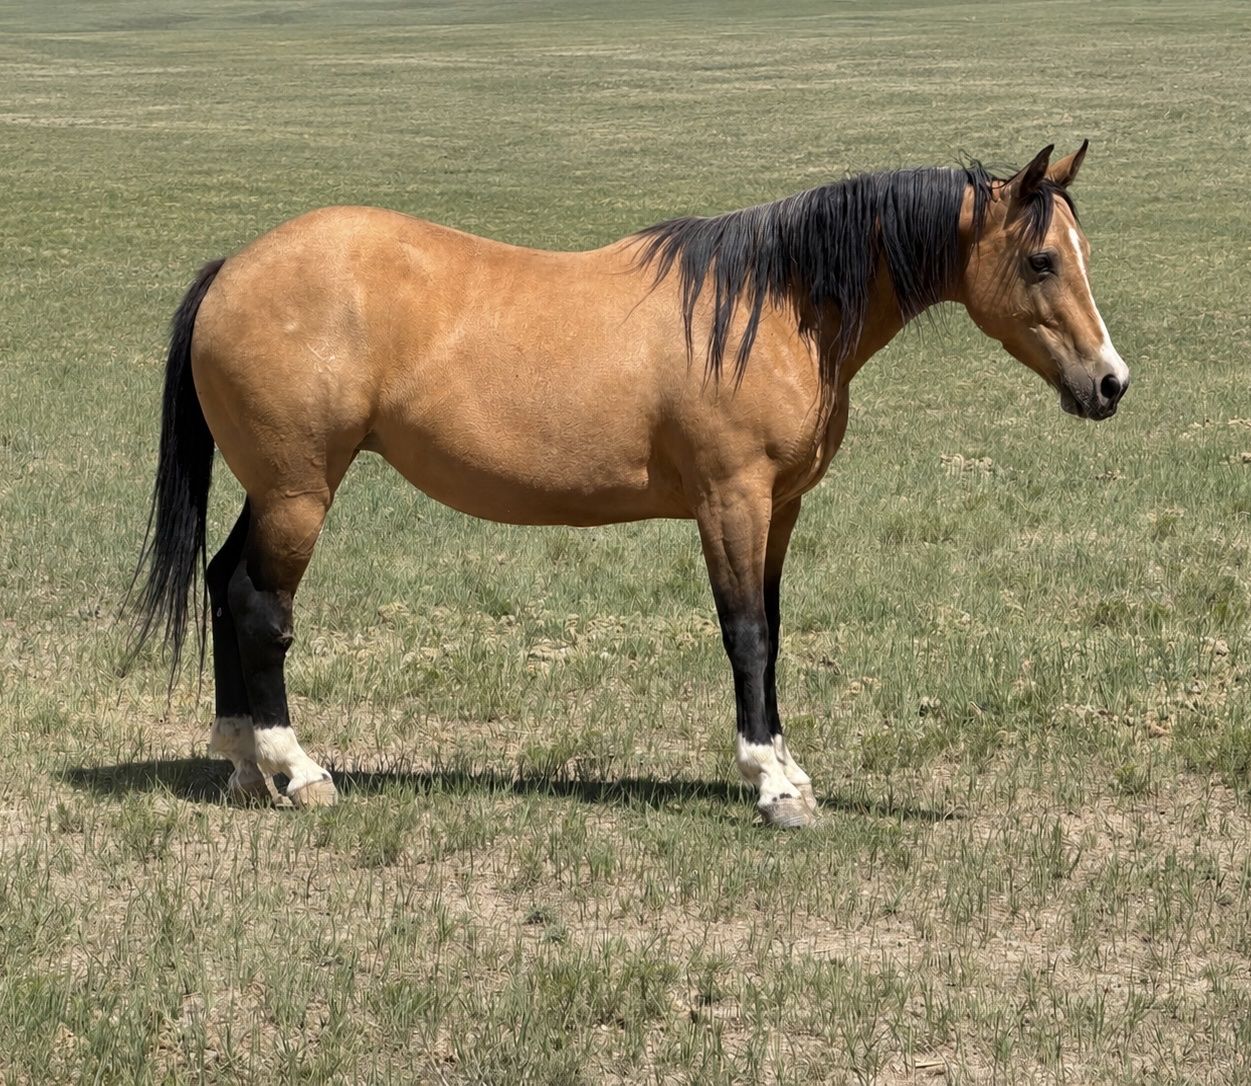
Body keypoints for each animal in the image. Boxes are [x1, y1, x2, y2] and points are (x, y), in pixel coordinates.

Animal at [128, 142, 1127, 828]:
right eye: (1040, 260)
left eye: (1080, 252)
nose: (1109, 382)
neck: (774, 305)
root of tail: (233, 269)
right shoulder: (731, 501)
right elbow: (745, 637)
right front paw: (772, 785)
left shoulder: (781, 509)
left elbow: (773, 631)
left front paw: (790, 769)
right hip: (300, 491)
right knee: (260, 607)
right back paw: (298, 770)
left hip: (273, 490)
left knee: (223, 584)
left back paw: (243, 765)